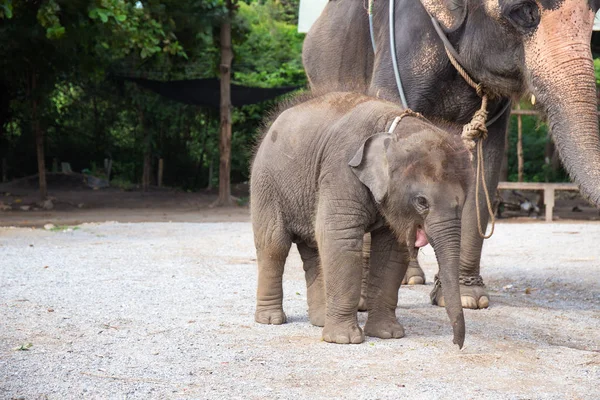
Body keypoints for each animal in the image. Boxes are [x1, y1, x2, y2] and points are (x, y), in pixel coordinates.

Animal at [251, 91, 472, 346]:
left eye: (463, 201)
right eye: (422, 202)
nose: (456, 343)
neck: (394, 130)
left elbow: (390, 251)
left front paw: (388, 334)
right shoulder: (341, 169)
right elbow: (340, 238)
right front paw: (344, 339)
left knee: (313, 249)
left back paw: (320, 320)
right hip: (266, 183)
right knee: (274, 245)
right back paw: (271, 320)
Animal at [302, 0, 600, 310]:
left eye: (594, 15)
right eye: (523, 11)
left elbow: (484, 163)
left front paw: (468, 298)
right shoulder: (400, 49)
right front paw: (361, 301)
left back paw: (411, 277)